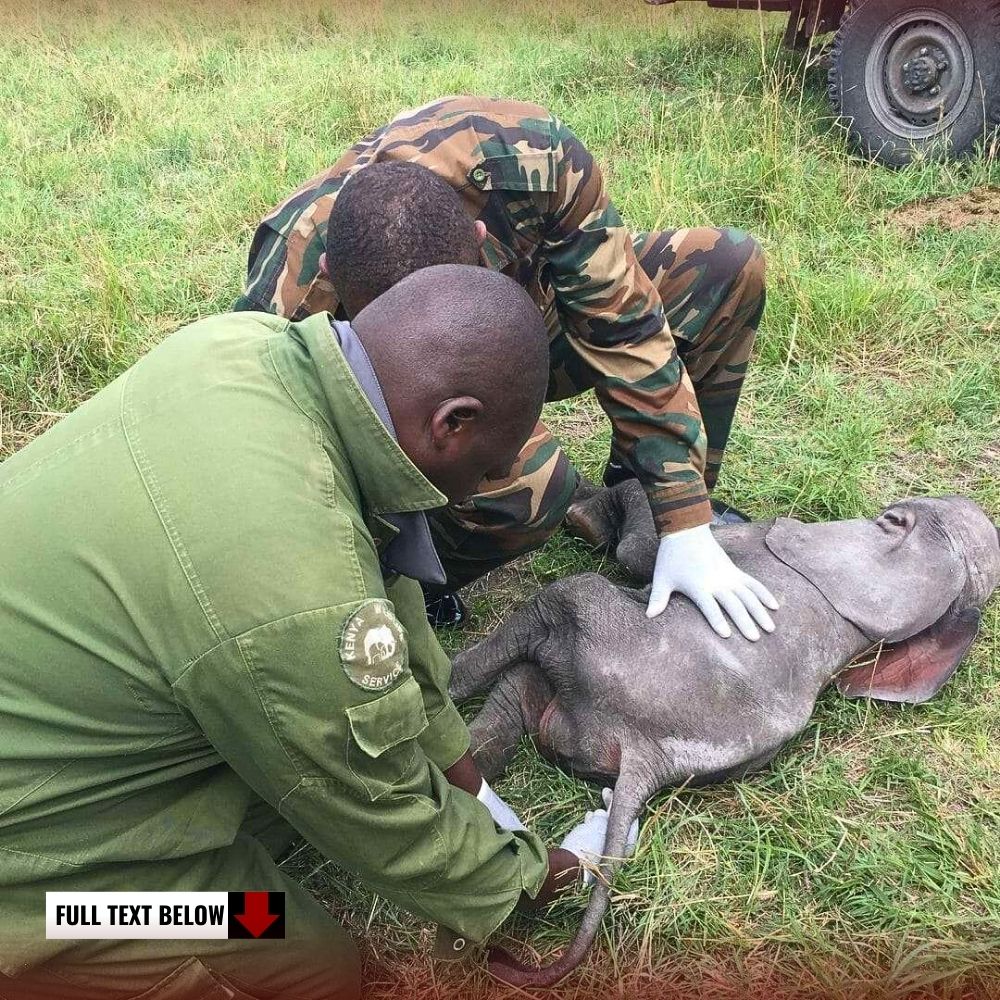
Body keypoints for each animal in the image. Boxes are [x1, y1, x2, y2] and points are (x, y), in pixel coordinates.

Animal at [450, 480, 996, 988]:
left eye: (896, 516)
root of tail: (645, 755)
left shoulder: (768, 540)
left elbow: (642, 551)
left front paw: (588, 511)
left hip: (583, 628)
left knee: (550, 609)